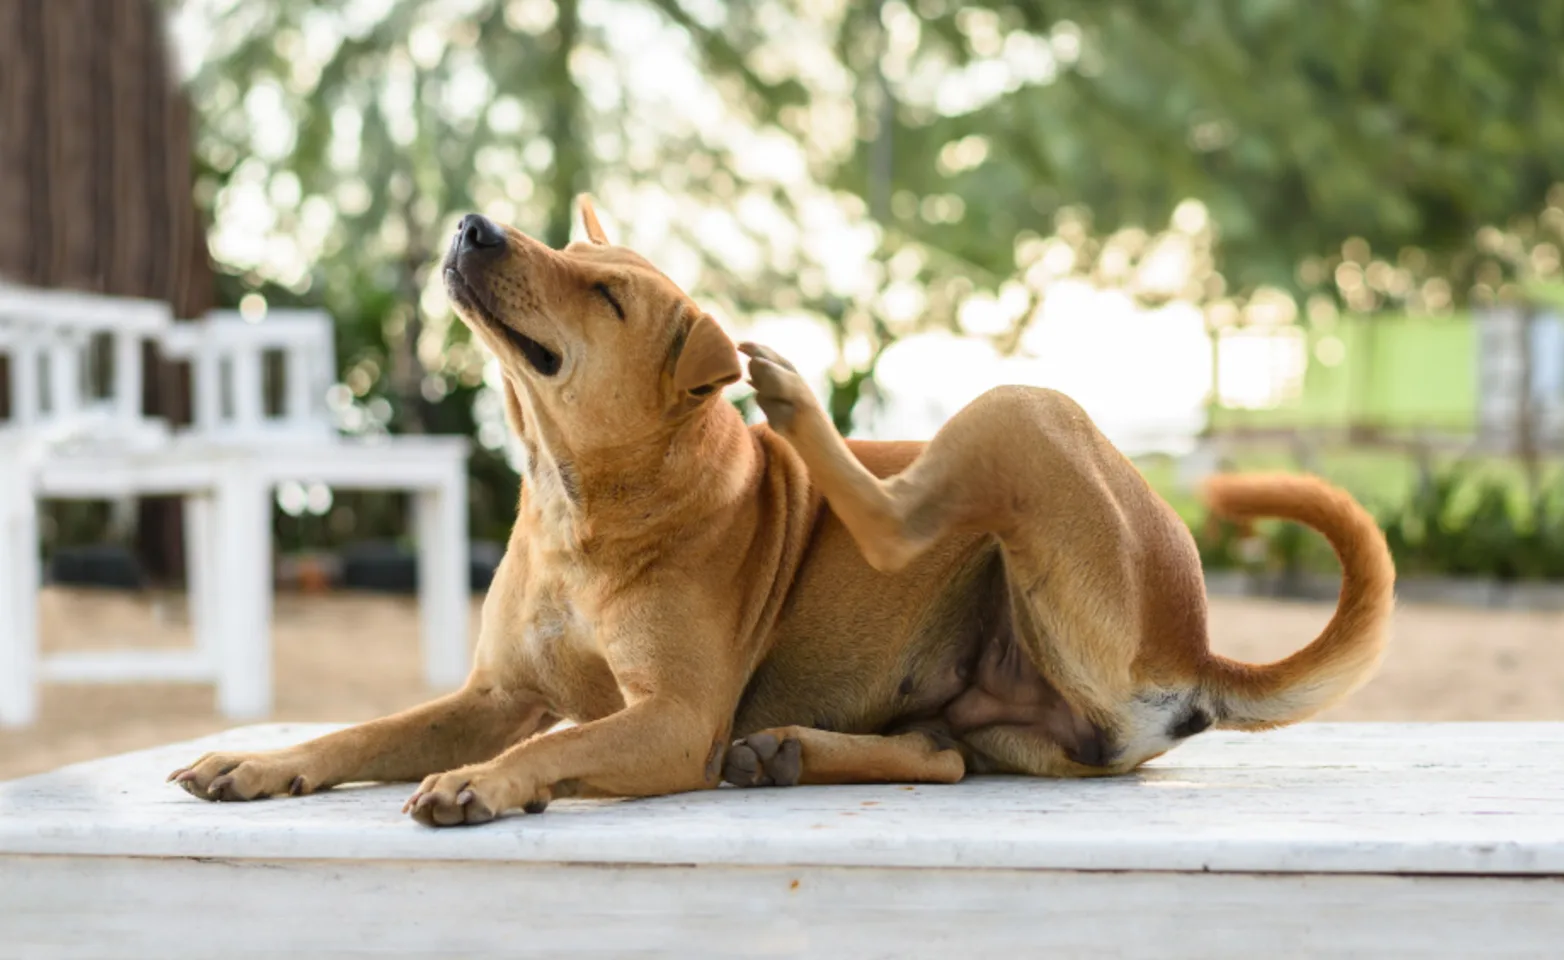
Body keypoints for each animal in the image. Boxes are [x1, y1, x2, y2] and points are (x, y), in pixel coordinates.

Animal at [168, 197, 1395, 825]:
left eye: (604, 292)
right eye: (568, 247)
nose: (476, 225)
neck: (581, 502)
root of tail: (1193, 640)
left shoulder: (673, 719)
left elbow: (557, 744)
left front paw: (484, 783)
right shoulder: (493, 694)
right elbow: (365, 732)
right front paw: (265, 763)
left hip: (1022, 413)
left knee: (900, 518)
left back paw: (797, 403)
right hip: (1001, 717)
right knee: (941, 756)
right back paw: (792, 752)